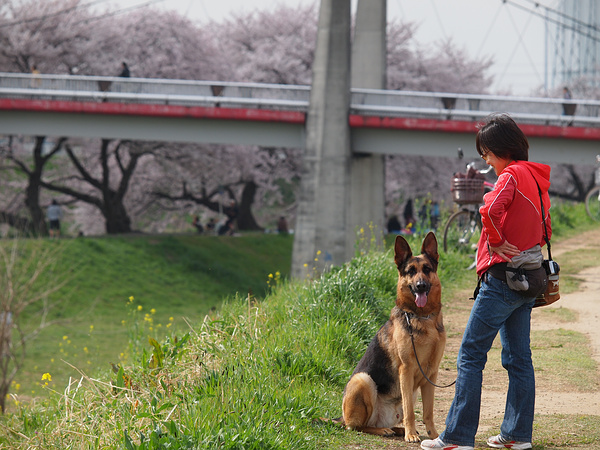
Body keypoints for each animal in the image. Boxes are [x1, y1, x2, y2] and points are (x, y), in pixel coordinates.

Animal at [338, 232, 446, 442]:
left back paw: (398, 429)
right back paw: (386, 431)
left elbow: (428, 411)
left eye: (427, 269)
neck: (422, 317)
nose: (421, 286)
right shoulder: (407, 369)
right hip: (363, 380)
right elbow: (411, 410)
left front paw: (434, 435)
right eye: (410, 271)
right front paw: (411, 435)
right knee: (357, 427)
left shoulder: (431, 374)